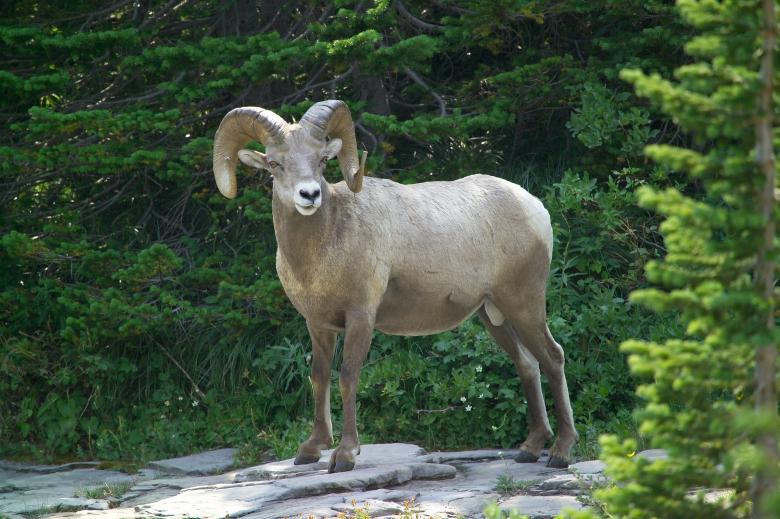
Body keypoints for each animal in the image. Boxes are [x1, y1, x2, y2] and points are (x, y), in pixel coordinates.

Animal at [212, 100, 579, 473]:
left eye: (321, 160)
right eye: (275, 163)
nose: (309, 195)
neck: (323, 249)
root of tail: (536, 208)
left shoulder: (361, 318)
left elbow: (348, 376)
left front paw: (345, 455)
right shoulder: (318, 325)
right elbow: (319, 376)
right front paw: (311, 450)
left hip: (524, 304)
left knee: (553, 357)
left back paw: (561, 452)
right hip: (494, 315)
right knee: (527, 363)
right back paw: (530, 448)